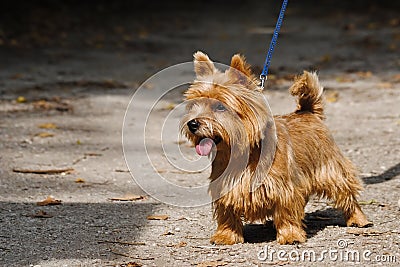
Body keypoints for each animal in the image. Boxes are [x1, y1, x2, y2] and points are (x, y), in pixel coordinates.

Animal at [181, 51, 372, 246]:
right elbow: (227, 214)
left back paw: (358, 219)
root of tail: (308, 112)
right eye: (194, 105)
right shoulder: (224, 187)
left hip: (331, 170)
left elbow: (286, 211)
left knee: (346, 193)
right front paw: (226, 235)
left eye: (220, 106)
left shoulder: (284, 188)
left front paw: (290, 235)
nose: (192, 124)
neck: (244, 153)